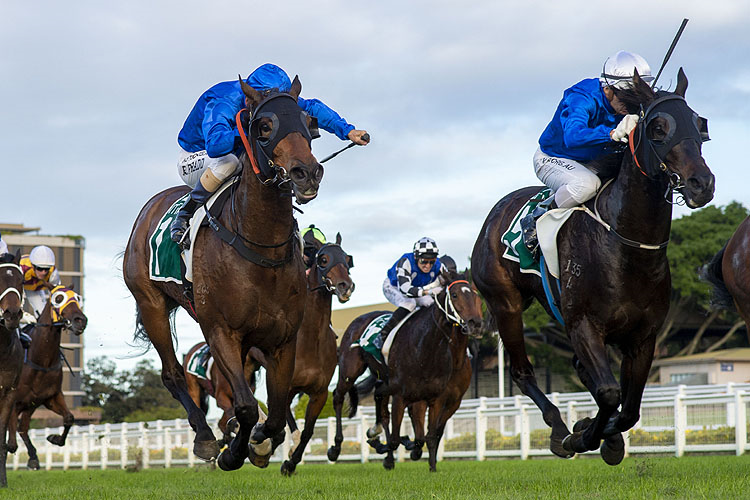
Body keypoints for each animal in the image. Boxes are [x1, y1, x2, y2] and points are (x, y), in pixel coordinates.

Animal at [6, 286, 88, 468]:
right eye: (58, 298)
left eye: (78, 298)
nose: (80, 320)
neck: (42, 360)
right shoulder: (14, 401)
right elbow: (12, 438)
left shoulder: (50, 397)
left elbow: (69, 418)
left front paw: (55, 439)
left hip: (30, 406)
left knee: (23, 427)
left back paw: (33, 457)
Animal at [125, 78, 328, 468]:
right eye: (263, 127)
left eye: (308, 124)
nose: (307, 173)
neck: (261, 249)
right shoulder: (220, 331)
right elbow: (247, 406)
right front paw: (234, 452)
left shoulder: (282, 340)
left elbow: (276, 412)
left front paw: (261, 442)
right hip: (151, 303)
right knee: (172, 373)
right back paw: (204, 438)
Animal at [476, 67, 716, 464]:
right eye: (658, 126)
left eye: (699, 124)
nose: (702, 183)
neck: (625, 247)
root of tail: (496, 212)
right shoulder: (585, 324)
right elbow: (609, 393)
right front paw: (582, 436)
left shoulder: (643, 336)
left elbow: (629, 408)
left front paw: (604, 434)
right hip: (506, 305)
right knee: (523, 373)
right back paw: (559, 429)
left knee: (579, 369)